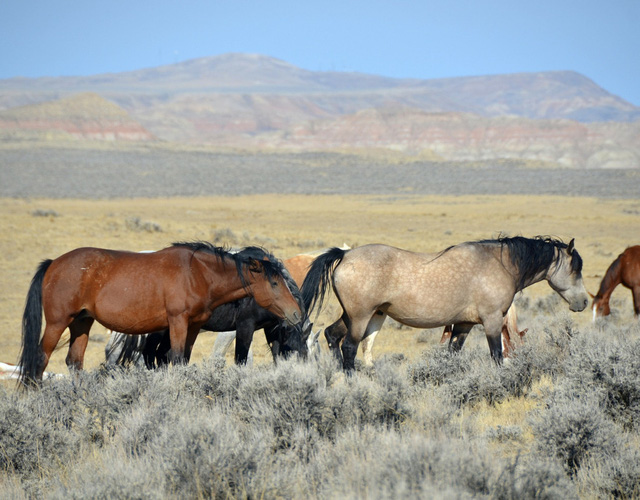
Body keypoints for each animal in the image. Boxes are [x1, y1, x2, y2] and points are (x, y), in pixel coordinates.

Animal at [17, 240, 302, 384]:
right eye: (274, 283)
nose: (297, 313)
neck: (197, 273)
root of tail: (54, 263)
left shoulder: (193, 326)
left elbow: (183, 359)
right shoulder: (177, 322)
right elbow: (174, 358)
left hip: (81, 323)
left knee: (74, 362)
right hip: (58, 322)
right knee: (40, 359)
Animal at [302, 236, 588, 370]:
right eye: (576, 268)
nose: (584, 302)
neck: (499, 264)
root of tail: (345, 254)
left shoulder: (463, 325)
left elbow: (453, 355)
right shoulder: (492, 321)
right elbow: (497, 355)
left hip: (354, 316)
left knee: (332, 335)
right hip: (361, 317)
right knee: (349, 347)